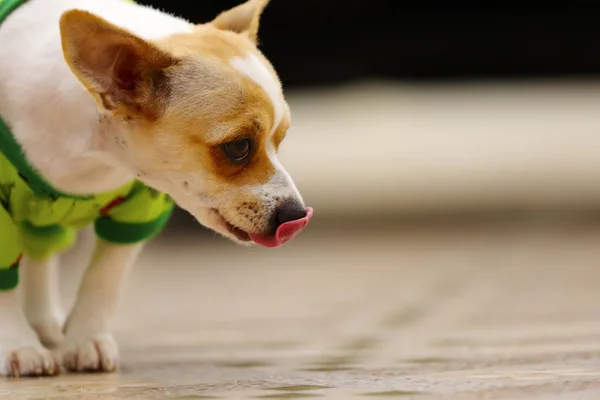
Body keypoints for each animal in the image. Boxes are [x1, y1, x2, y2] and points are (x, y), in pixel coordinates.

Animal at [0, 0, 310, 376]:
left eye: (280, 139)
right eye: (238, 147)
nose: (296, 214)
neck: (93, 160)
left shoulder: (136, 212)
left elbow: (104, 277)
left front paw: (86, 338)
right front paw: (18, 345)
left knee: (40, 250)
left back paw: (44, 322)